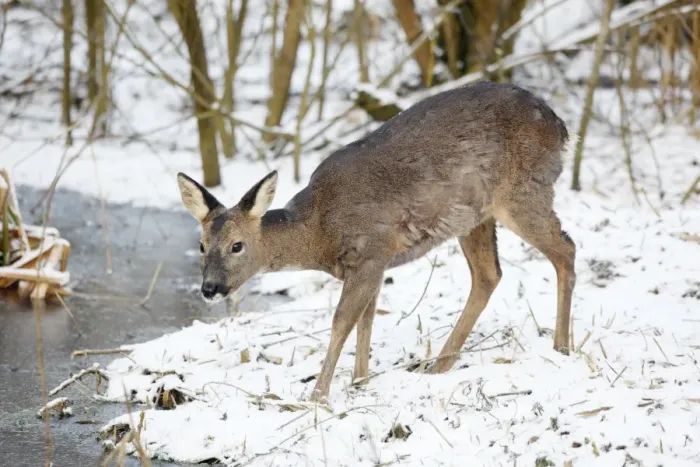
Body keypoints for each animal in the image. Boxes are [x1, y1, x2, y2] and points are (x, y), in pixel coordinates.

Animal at [176, 80, 577, 402]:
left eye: (237, 245)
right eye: (201, 245)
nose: (210, 288)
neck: (319, 232)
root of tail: (560, 125)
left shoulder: (371, 251)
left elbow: (342, 321)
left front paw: (317, 396)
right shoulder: (371, 264)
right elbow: (365, 321)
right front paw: (360, 382)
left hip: (523, 191)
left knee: (565, 249)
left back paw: (561, 347)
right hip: (475, 216)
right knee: (489, 274)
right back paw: (439, 366)